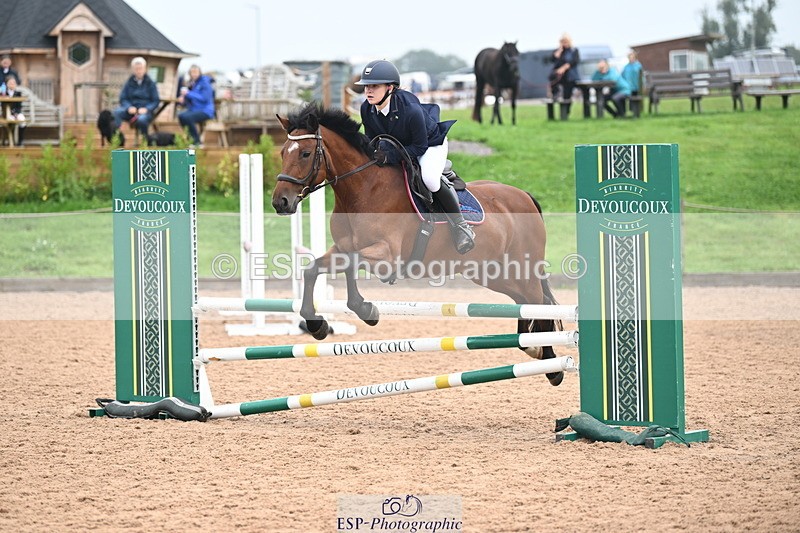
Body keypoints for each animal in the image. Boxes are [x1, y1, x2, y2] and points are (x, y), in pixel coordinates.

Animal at [271, 102, 563, 386]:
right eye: (283, 152)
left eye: (305, 153)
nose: (280, 202)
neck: (363, 190)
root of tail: (524, 196)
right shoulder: (344, 248)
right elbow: (315, 269)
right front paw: (323, 323)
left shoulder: (386, 256)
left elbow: (349, 265)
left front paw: (361, 310)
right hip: (493, 273)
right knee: (524, 301)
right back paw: (533, 348)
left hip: (522, 268)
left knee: (540, 303)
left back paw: (552, 366)